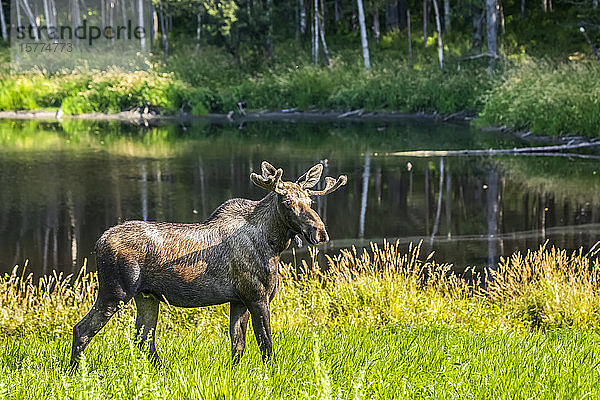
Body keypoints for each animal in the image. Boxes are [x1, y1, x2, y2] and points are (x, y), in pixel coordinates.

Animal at [69, 160, 346, 372]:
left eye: (310, 201)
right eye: (287, 202)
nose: (320, 232)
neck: (273, 244)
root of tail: (98, 243)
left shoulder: (238, 300)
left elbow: (238, 345)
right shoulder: (256, 296)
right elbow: (266, 344)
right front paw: (273, 373)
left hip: (147, 296)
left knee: (144, 338)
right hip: (115, 291)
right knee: (82, 329)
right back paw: (74, 372)